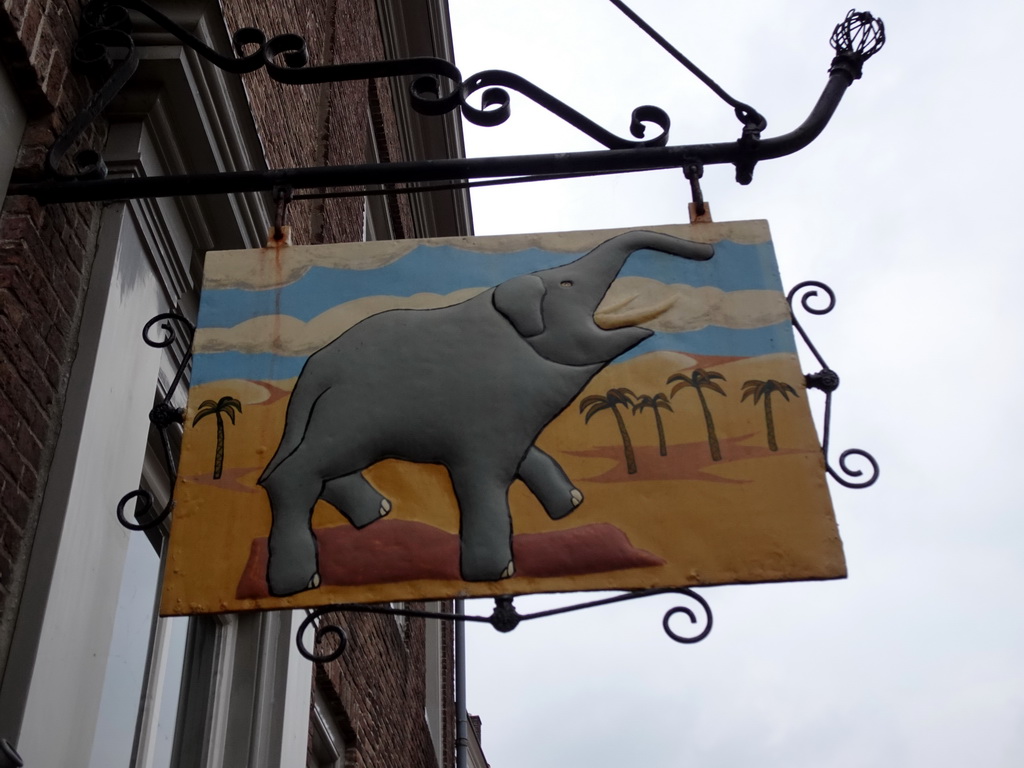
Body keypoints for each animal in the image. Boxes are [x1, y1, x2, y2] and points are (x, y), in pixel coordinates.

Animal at [260, 231, 716, 598]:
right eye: (567, 284)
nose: (708, 251)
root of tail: (314, 368)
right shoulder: (482, 426)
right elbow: (482, 482)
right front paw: (496, 572)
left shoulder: (514, 420)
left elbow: (531, 457)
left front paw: (570, 504)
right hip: (352, 415)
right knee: (297, 473)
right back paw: (299, 581)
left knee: (321, 469)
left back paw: (379, 512)